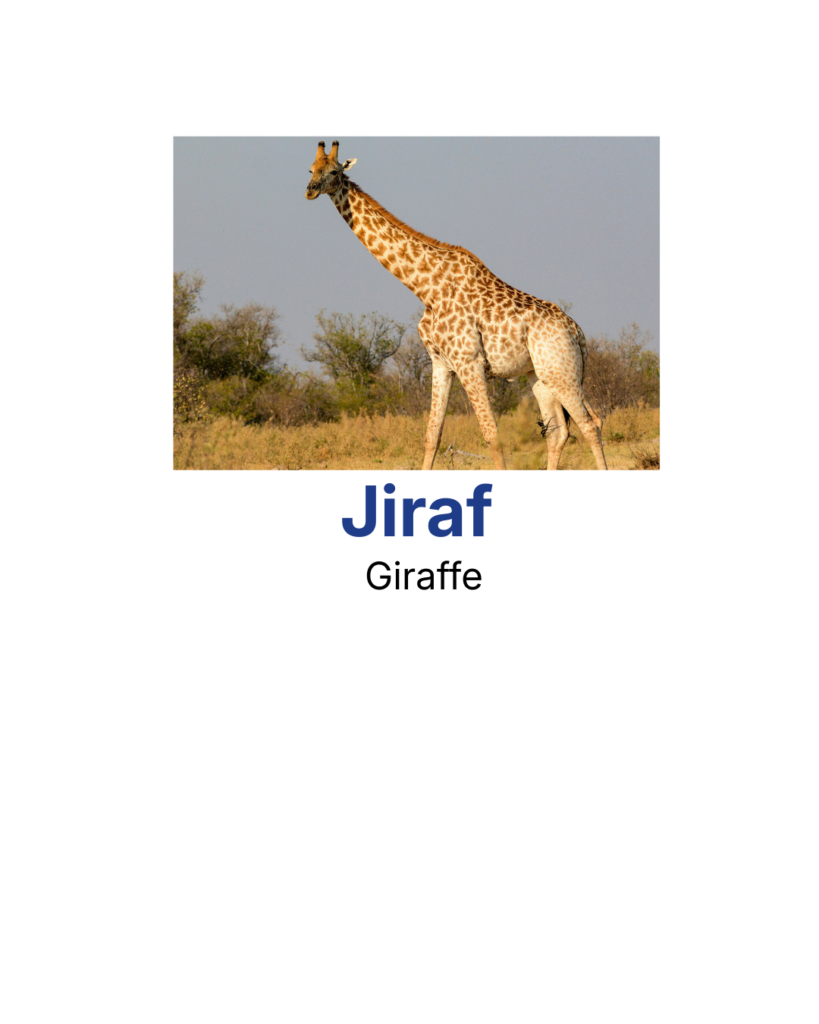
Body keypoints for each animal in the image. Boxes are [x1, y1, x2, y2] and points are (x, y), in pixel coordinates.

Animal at [305, 140, 607, 471]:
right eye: (311, 169)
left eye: (334, 171)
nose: (310, 190)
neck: (425, 288)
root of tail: (578, 333)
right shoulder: (441, 363)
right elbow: (432, 435)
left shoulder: (469, 361)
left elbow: (491, 435)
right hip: (540, 375)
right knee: (559, 431)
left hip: (560, 371)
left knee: (591, 424)